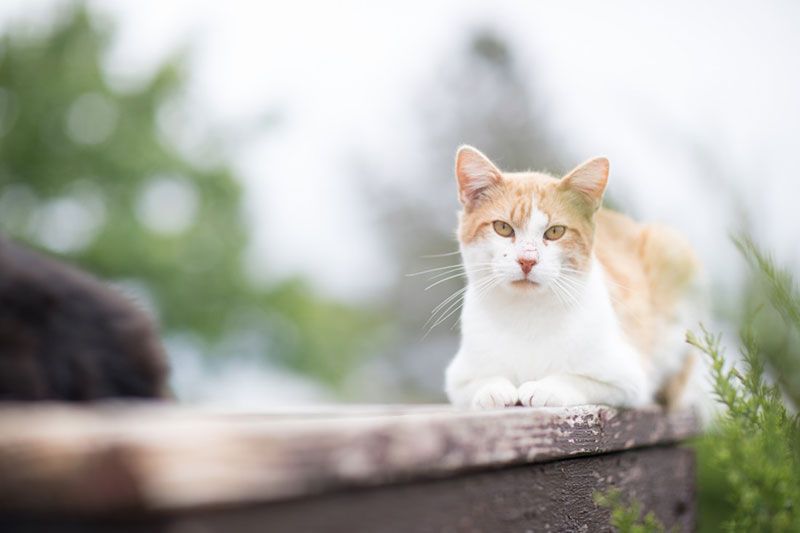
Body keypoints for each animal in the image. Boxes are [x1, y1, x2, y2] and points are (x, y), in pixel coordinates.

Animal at [446, 145, 704, 408]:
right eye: (503, 228)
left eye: (555, 232)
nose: (527, 260)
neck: (527, 314)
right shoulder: (457, 378)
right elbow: (476, 383)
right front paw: (493, 388)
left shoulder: (628, 379)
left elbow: (578, 379)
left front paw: (546, 387)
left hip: (671, 246)